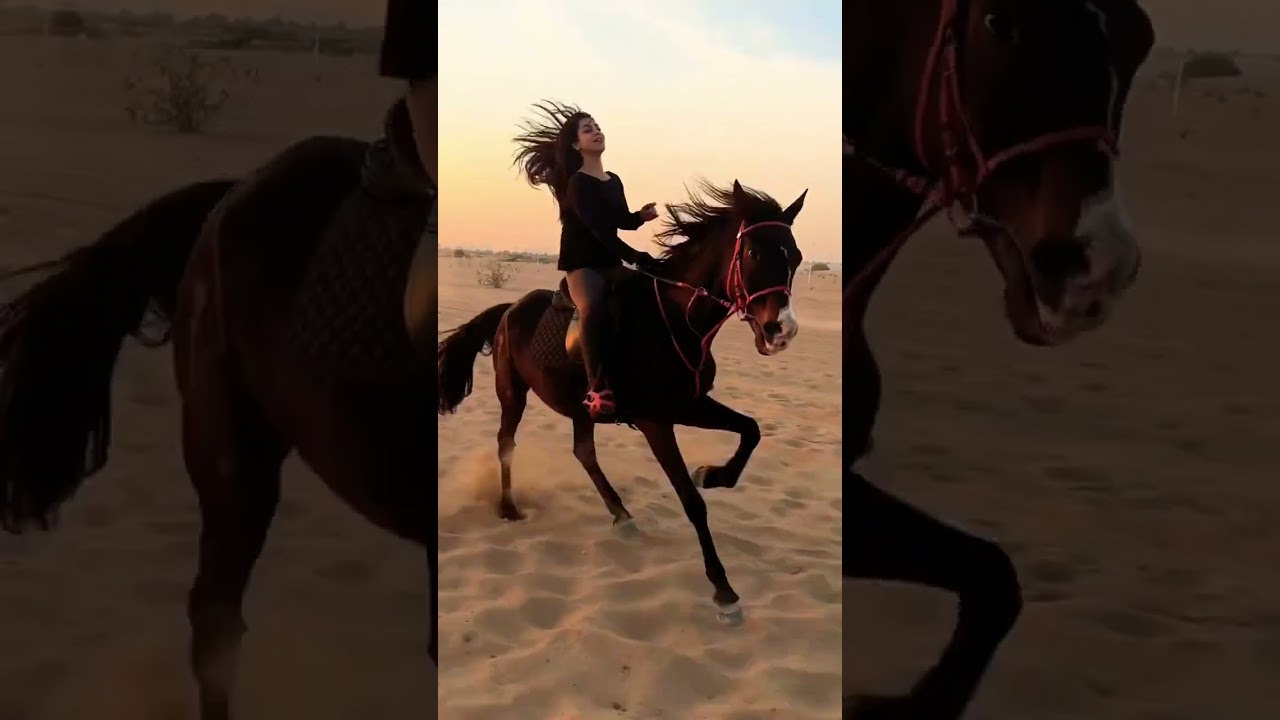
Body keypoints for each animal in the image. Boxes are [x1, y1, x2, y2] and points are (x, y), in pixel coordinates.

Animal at [437, 180, 805, 626]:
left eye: (796, 257)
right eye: (752, 253)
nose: (781, 331)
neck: (676, 320)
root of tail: (510, 309)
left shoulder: (689, 405)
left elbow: (750, 430)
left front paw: (714, 475)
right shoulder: (656, 421)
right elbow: (692, 502)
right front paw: (724, 591)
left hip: (580, 405)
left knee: (583, 451)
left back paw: (621, 513)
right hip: (512, 392)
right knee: (506, 443)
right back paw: (509, 508)